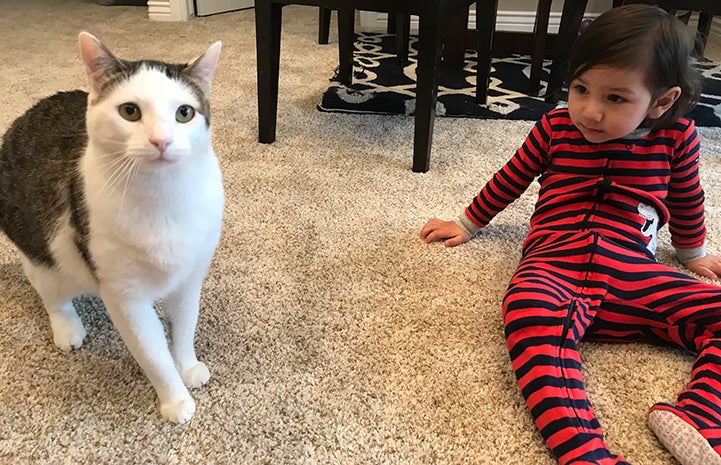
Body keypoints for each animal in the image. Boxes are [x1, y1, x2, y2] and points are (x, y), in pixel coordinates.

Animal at [0, 32, 224, 422]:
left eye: (184, 113)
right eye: (130, 111)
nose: (161, 141)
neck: (162, 197)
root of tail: (24, 116)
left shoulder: (190, 276)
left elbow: (184, 326)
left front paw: (187, 366)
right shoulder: (125, 295)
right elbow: (152, 353)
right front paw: (175, 400)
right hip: (43, 252)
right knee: (52, 295)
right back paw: (68, 329)